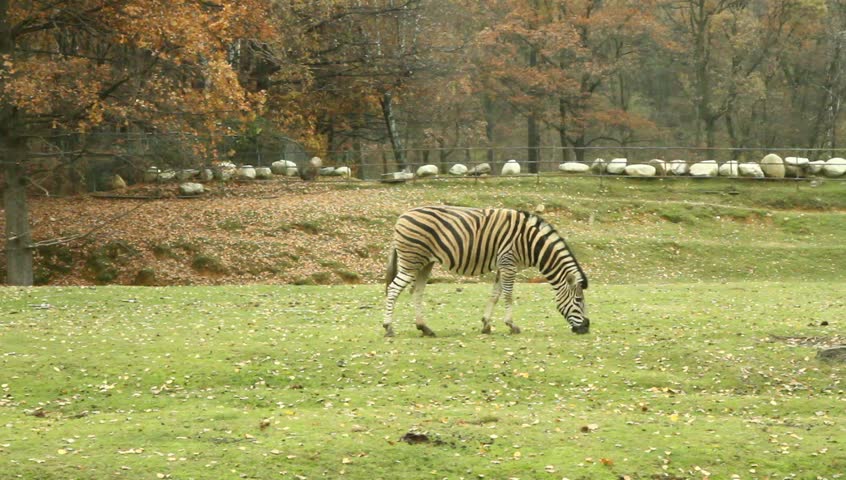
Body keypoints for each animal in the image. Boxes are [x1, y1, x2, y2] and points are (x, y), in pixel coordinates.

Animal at [383, 205, 589, 337]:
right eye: (579, 300)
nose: (587, 328)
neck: (531, 243)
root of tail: (402, 216)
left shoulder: (503, 265)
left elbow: (495, 295)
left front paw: (486, 325)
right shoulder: (508, 263)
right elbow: (508, 296)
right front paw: (511, 325)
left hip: (425, 263)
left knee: (416, 291)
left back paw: (424, 328)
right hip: (411, 261)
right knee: (393, 289)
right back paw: (388, 328)